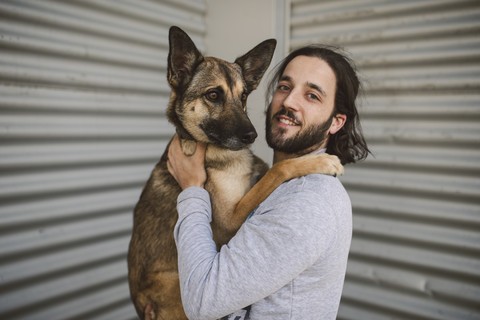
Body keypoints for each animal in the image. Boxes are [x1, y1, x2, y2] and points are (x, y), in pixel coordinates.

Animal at [129, 26, 344, 320]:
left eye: (243, 97)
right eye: (213, 95)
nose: (252, 136)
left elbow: (267, 171)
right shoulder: (229, 220)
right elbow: (279, 168)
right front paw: (322, 161)